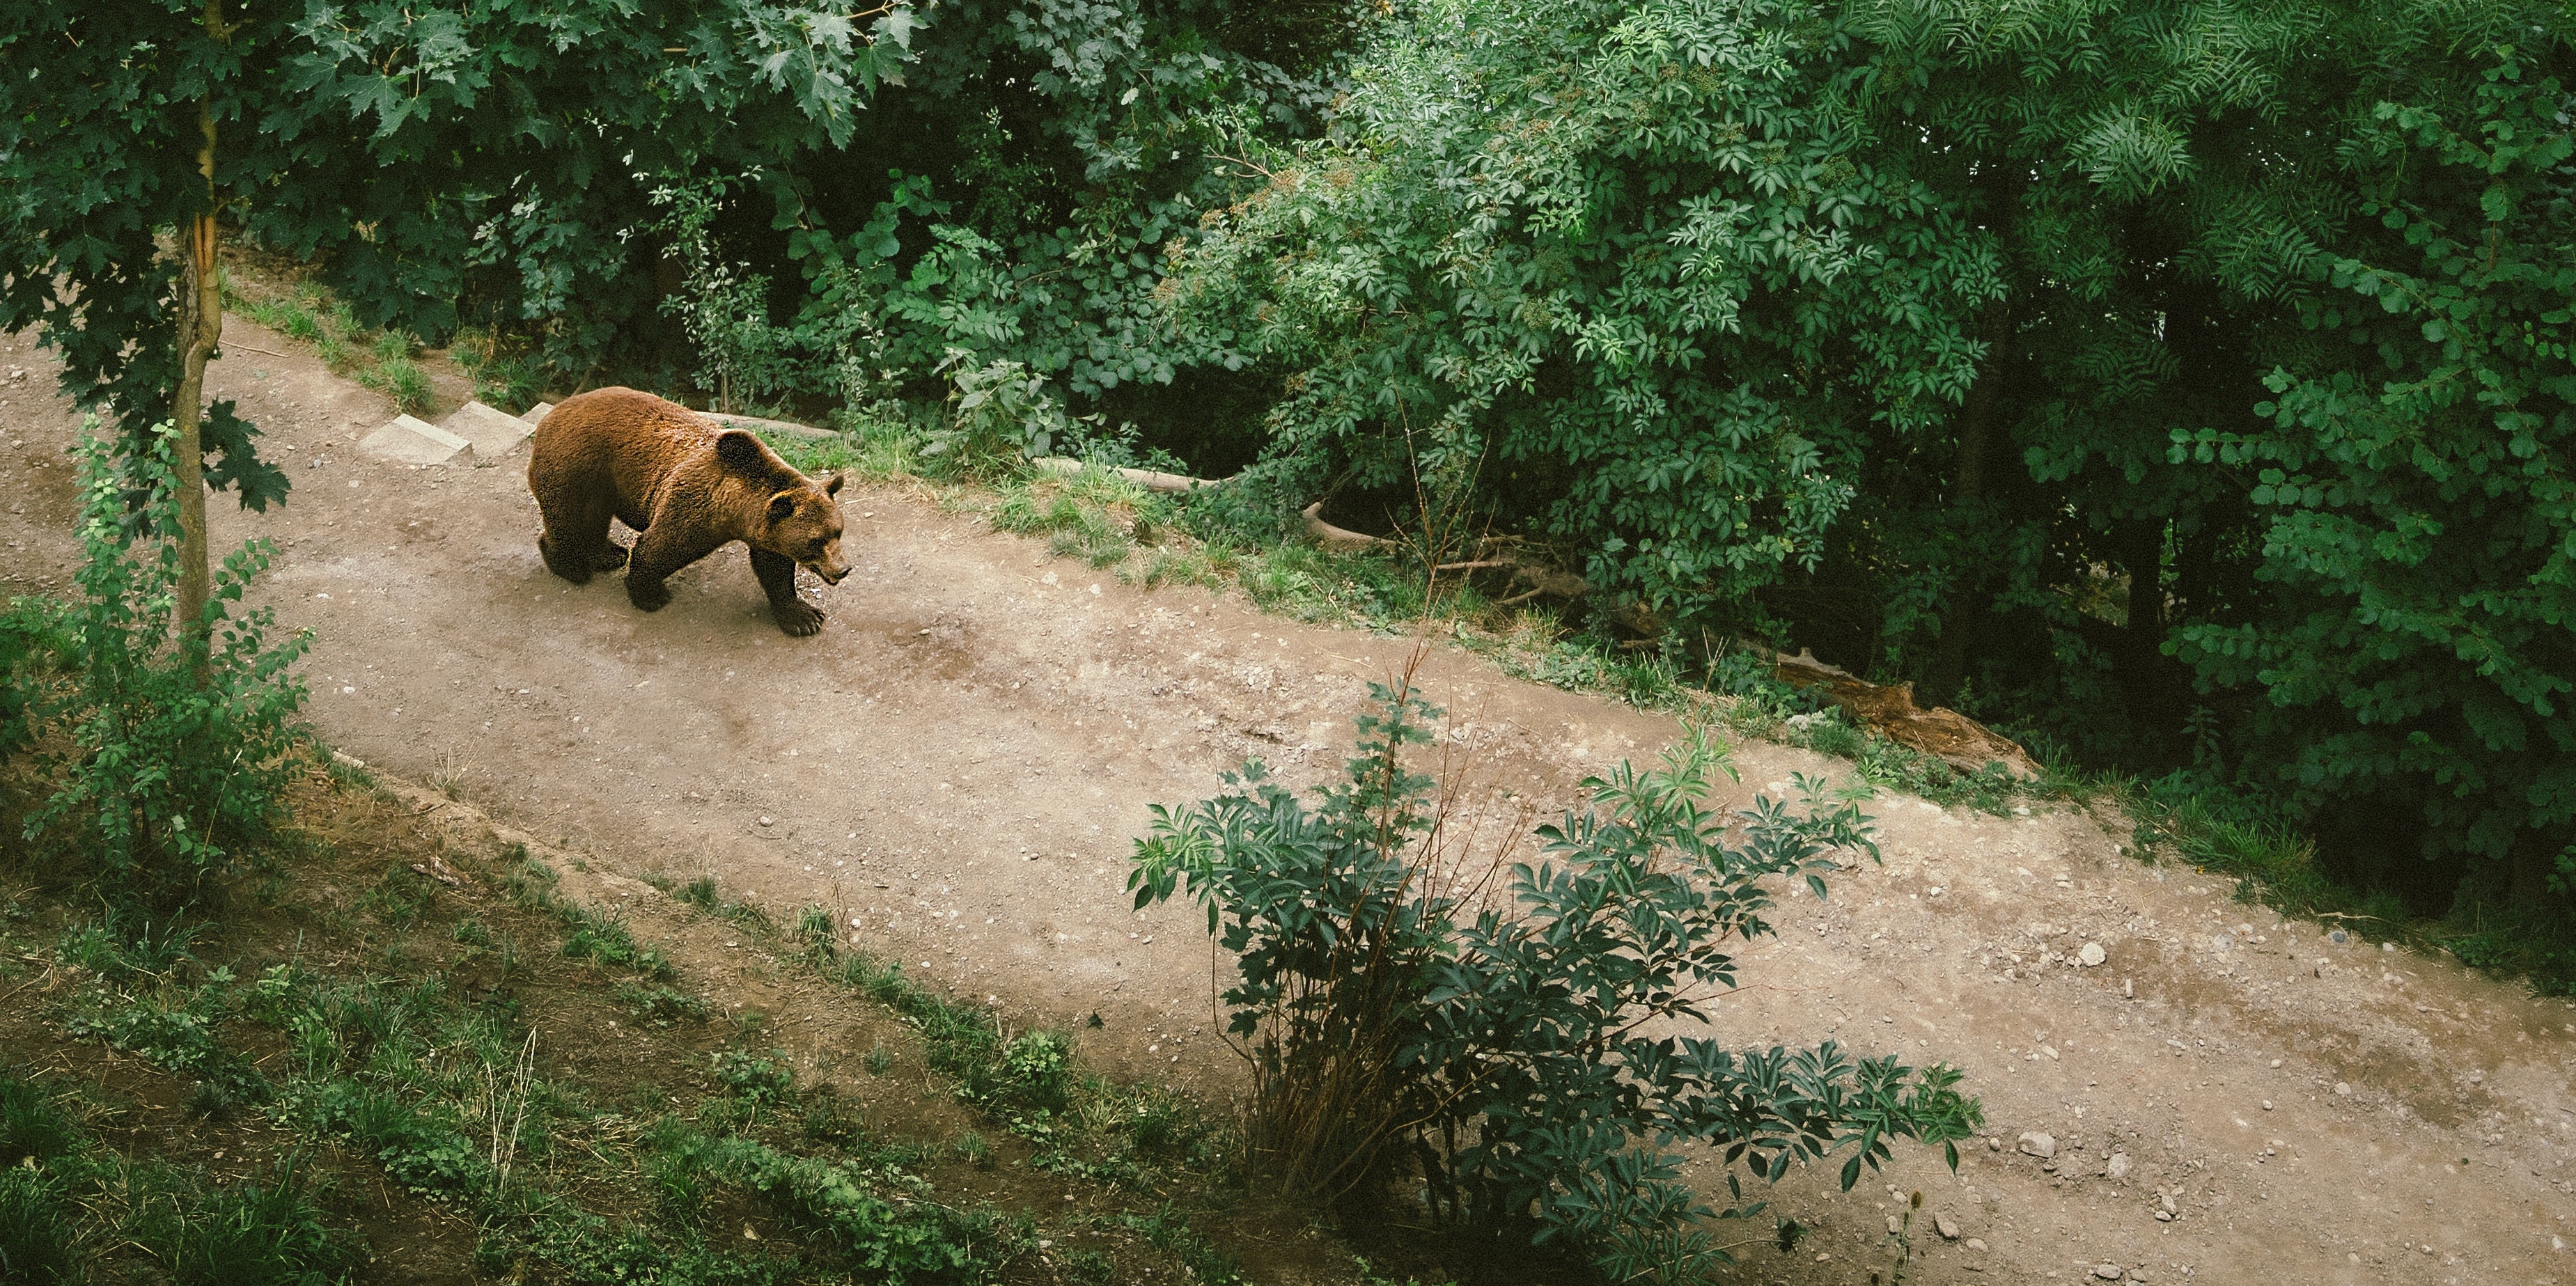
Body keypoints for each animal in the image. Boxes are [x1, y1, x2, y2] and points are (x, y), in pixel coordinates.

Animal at [528, 386, 850, 638]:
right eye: (816, 541)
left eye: (838, 532)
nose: (843, 569)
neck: (737, 508)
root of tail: (553, 414)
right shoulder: (693, 506)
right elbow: (659, 547)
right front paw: (650, 594)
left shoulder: (767, 530)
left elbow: (775, 569)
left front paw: (803, 617)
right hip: (576, 466)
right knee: (570, 518)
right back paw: (571, 566)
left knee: (593, 518)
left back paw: (608, 554)